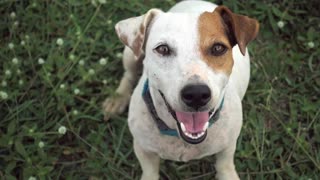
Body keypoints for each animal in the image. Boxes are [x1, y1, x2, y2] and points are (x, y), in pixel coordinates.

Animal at [104, 0, 258, 179]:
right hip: (130, 54)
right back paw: (117, 99)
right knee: (128, 75)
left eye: (218, 48)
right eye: (163, 49)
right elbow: (150, 172)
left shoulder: (228, 147)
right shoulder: (143, 149)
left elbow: (224, 165)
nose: (197, 94)